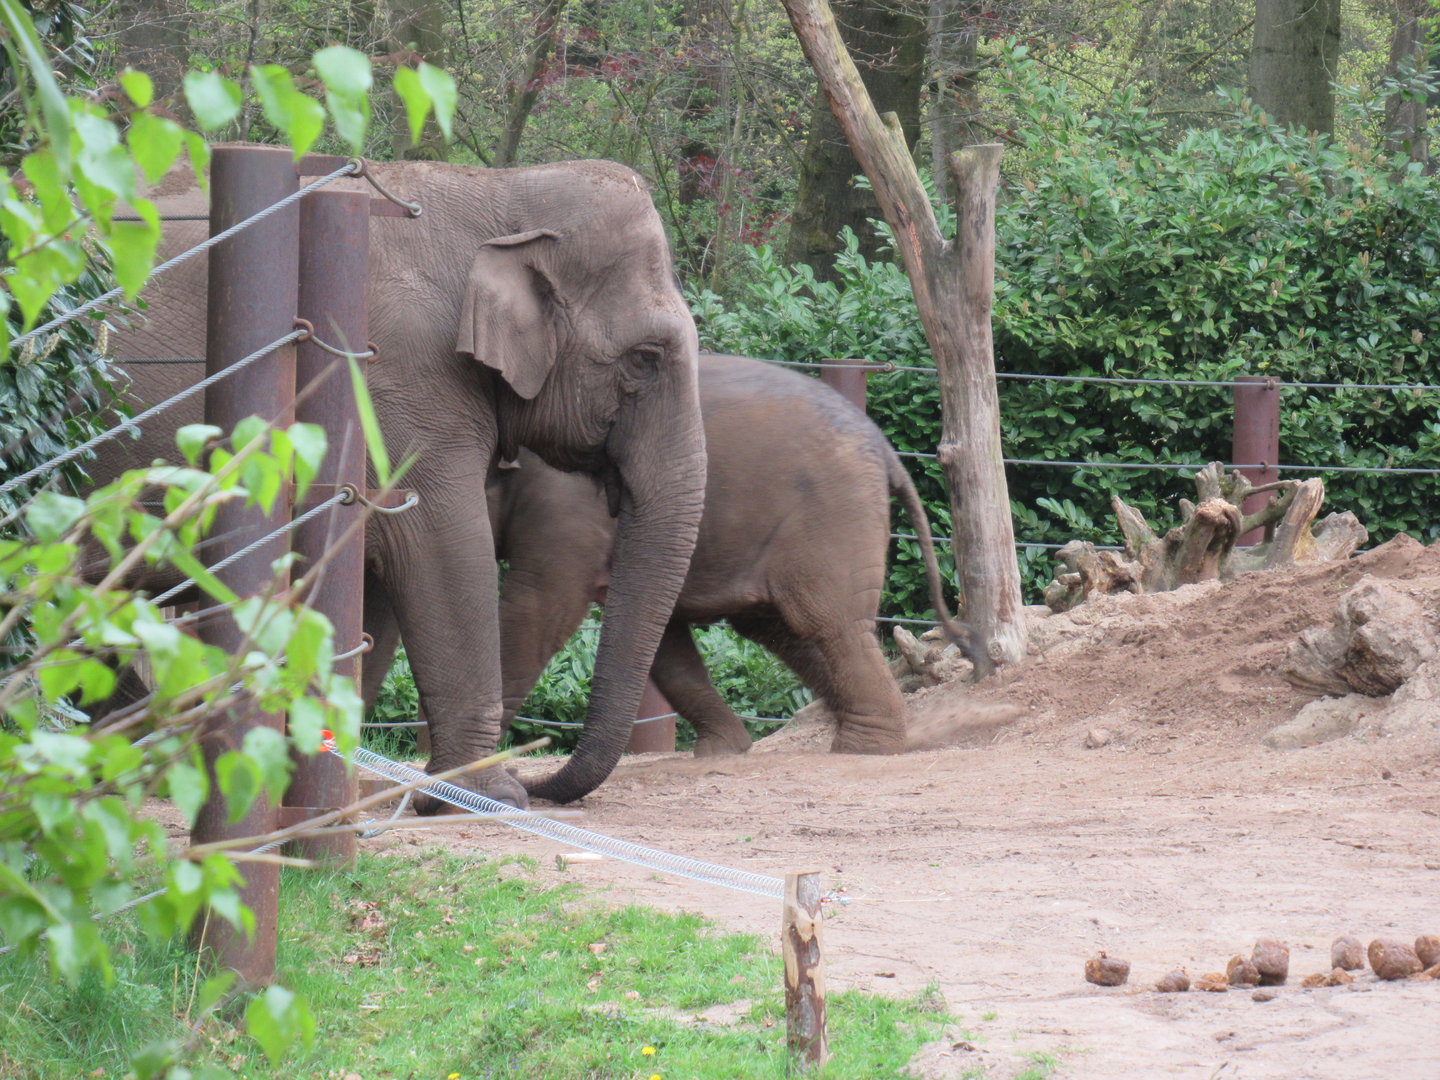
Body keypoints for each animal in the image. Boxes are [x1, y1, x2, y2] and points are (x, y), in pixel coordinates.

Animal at [92, 150, 706, 809]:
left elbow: (371, 576)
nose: (538, 781)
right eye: (645, 358)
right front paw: (488, 799)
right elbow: (442, 549)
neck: (503, 192)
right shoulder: (395, 375)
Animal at [365, 353, 985, 782]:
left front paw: (445, 765)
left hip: (832, 517)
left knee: (826, 624)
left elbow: (540, 607)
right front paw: (723, 751)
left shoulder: (566, 506)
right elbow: (663, 638)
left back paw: (865, 748)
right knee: (780, 629)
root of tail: (886, 452)